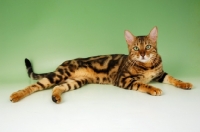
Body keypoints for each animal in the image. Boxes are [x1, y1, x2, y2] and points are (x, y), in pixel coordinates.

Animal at [10, 26, 193, 103]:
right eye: (135, 48)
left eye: (148, 46)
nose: (142, 54)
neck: (147, 65)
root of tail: (62, 63)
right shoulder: (123, 79)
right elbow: (142, 84)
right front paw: (153, 89)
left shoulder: (160, 74)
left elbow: (174, 79)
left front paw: (185, 83)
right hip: (59, 75)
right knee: (35, 86)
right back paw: (16, 95)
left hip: (75, 82)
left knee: (57, 87)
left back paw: (56, 97)